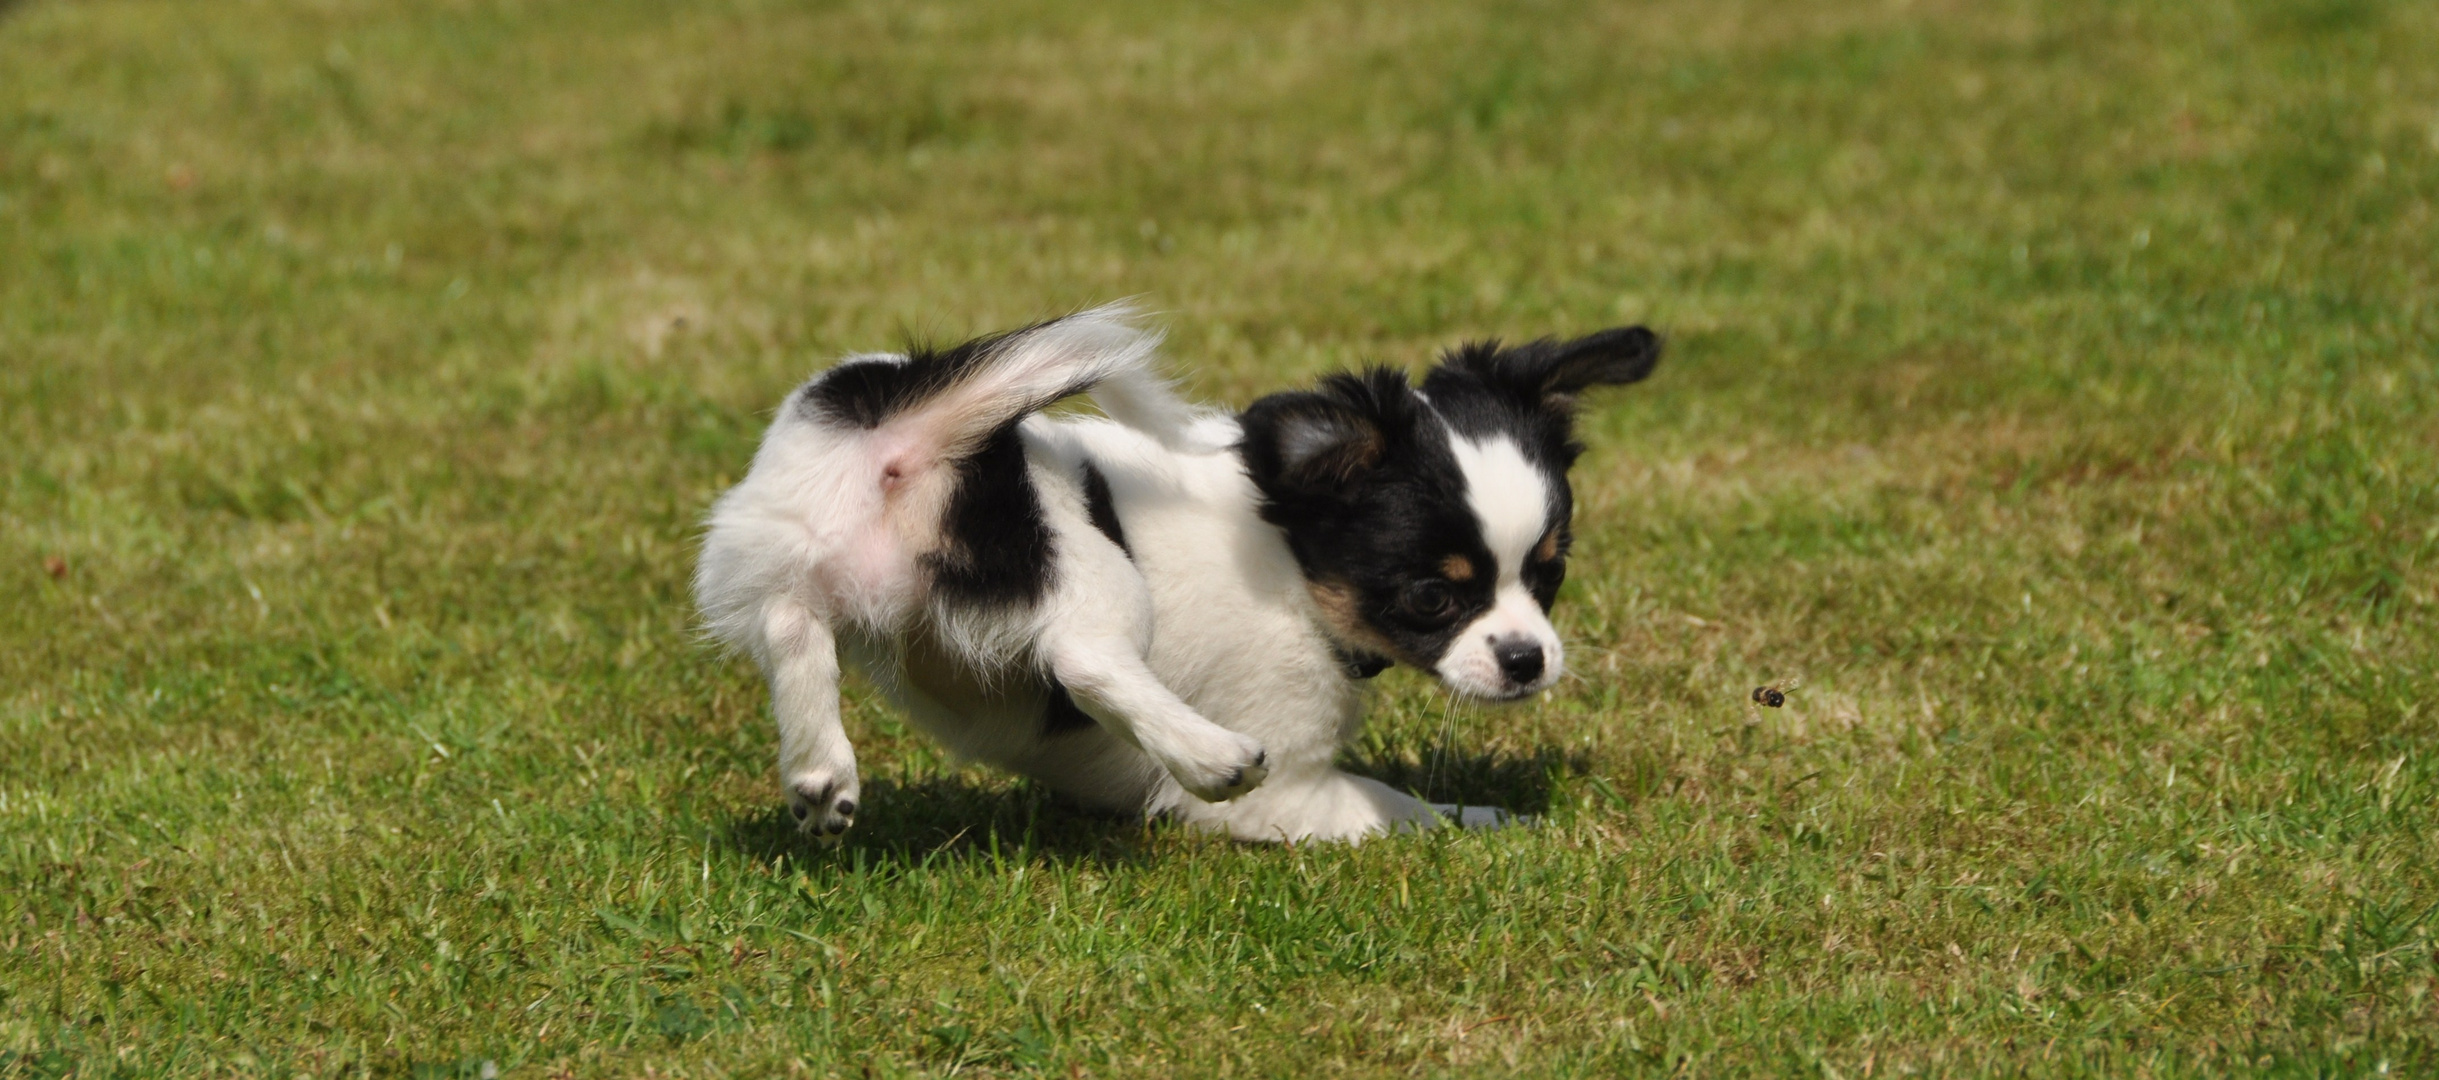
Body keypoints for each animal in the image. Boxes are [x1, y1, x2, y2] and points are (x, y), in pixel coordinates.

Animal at [697, 304, 1668, 843]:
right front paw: (1494, 825)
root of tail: (910, 422)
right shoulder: (1297, 790)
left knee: (790, 625)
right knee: (1084, 658)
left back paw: (821, 771)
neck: (1285, 556)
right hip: (1088, 559)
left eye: (1548, 575)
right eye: (1433, 597)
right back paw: (1209, 755)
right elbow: (1405, 812)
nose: (1527, 660)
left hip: (784, 548)